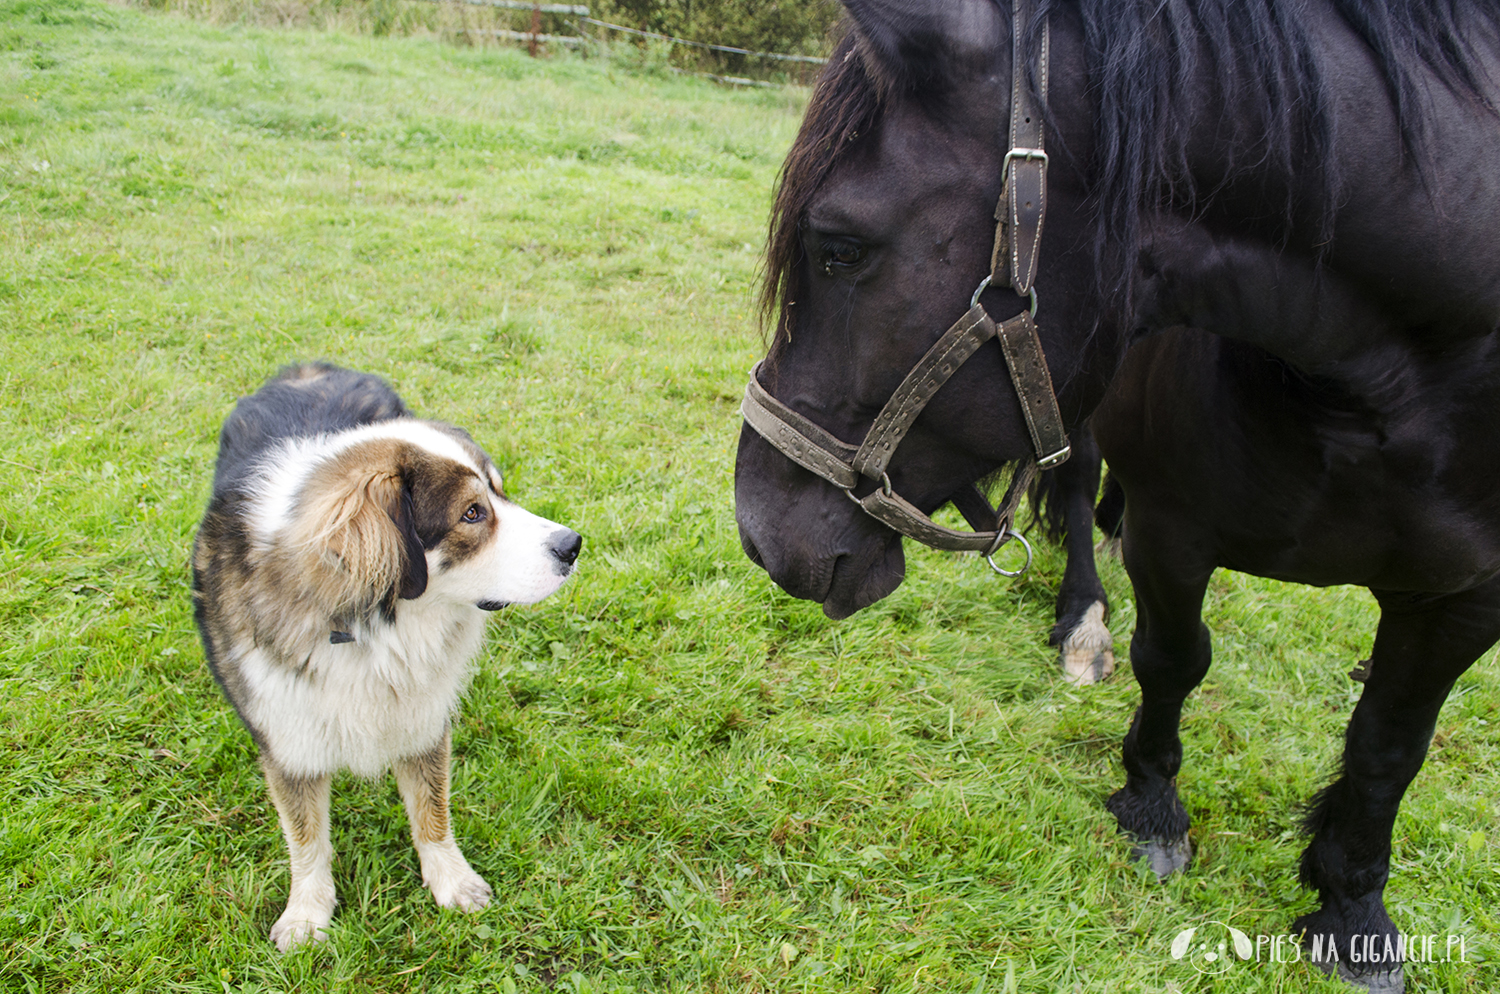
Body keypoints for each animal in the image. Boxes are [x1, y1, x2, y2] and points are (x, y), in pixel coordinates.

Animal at [193, 364, 579, 947]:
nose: (573, 545)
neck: (370, 628)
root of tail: (310, 366)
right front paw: (307, 912)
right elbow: (306, 837)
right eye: (472, 513)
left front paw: (451, 881)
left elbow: (432, 809)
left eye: (502, 494)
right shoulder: (288, 736)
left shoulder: (423, 715)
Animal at [732, 3, 1500, 989]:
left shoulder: (1464, 597)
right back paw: (1080, 617)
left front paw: (1351, 905)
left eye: (840, 248)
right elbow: (1172, 660)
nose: (759, 528)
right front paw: (1154, 808)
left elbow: (1388, 747)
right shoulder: (1175, 532)